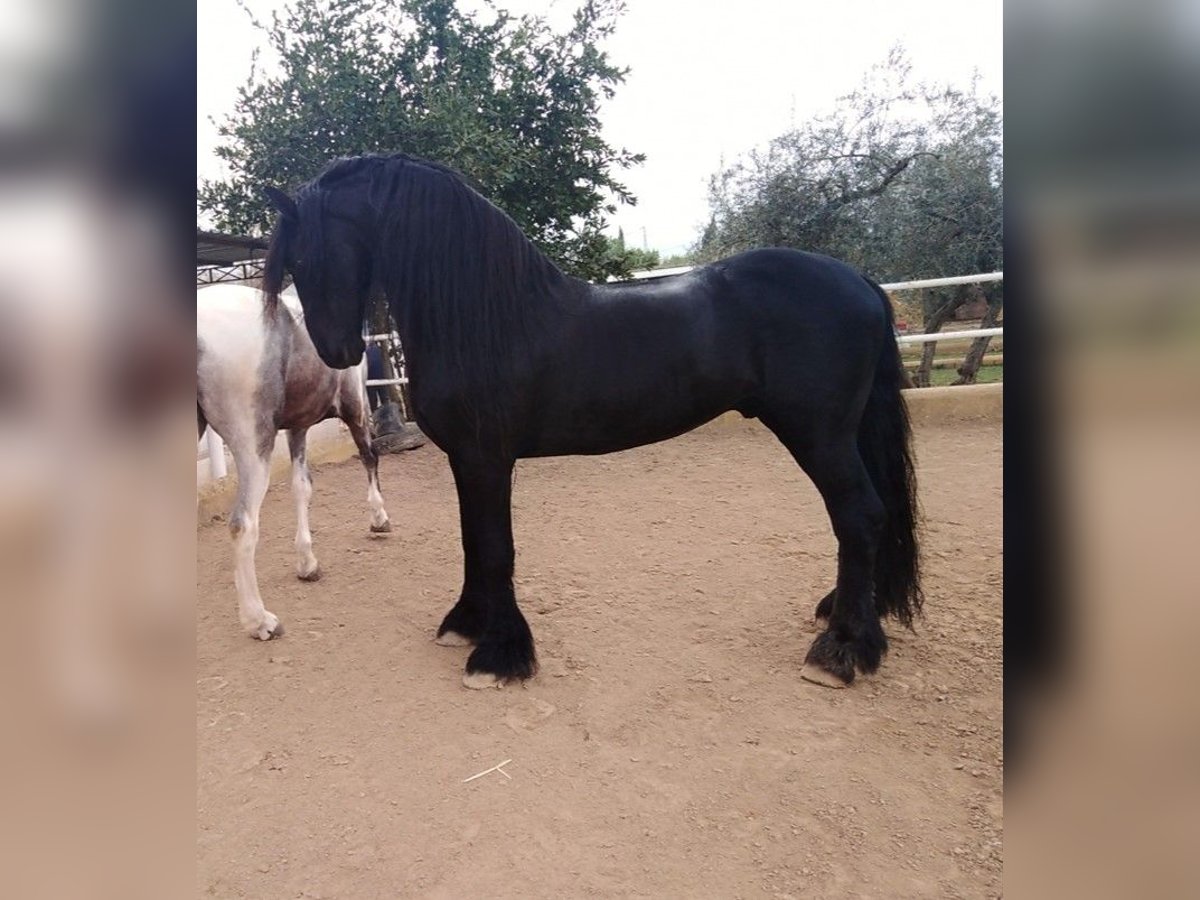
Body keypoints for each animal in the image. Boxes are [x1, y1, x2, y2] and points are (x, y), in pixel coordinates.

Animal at [197, 283, 391, 640]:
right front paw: (379, 518)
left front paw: (307, 564)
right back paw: (260, 621)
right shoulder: (356, 405)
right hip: (253, 444)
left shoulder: (298, 427)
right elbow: (370, 457)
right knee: (243, 524)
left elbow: (301, 487)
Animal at [261, 153, 921, 690]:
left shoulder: (486, 457)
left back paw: (840, 652)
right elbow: (474, 541)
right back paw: (852, 620)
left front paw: (500, 656)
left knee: (860, 516)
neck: (487, 318)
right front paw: (467, 624)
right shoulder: (466, 460)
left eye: (304, 255)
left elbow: (496, 547)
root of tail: (859, 282)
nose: (338, 351)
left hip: (819, 435)